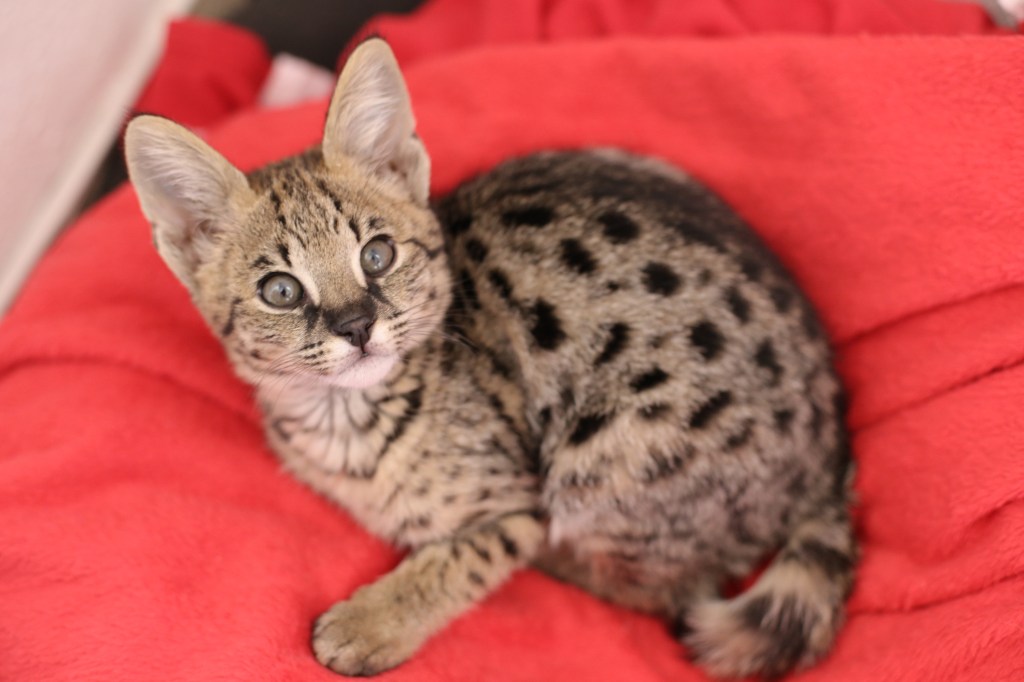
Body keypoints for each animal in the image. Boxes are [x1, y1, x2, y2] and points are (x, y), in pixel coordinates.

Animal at [121, 39, 856, 675]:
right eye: (281, 290)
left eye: (377, 255)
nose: (357, 325)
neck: (346, 420)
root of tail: (831, 454)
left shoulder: (518, 500)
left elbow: (468, 554)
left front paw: (371, 621)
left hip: (610, 453)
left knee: (669, 587)